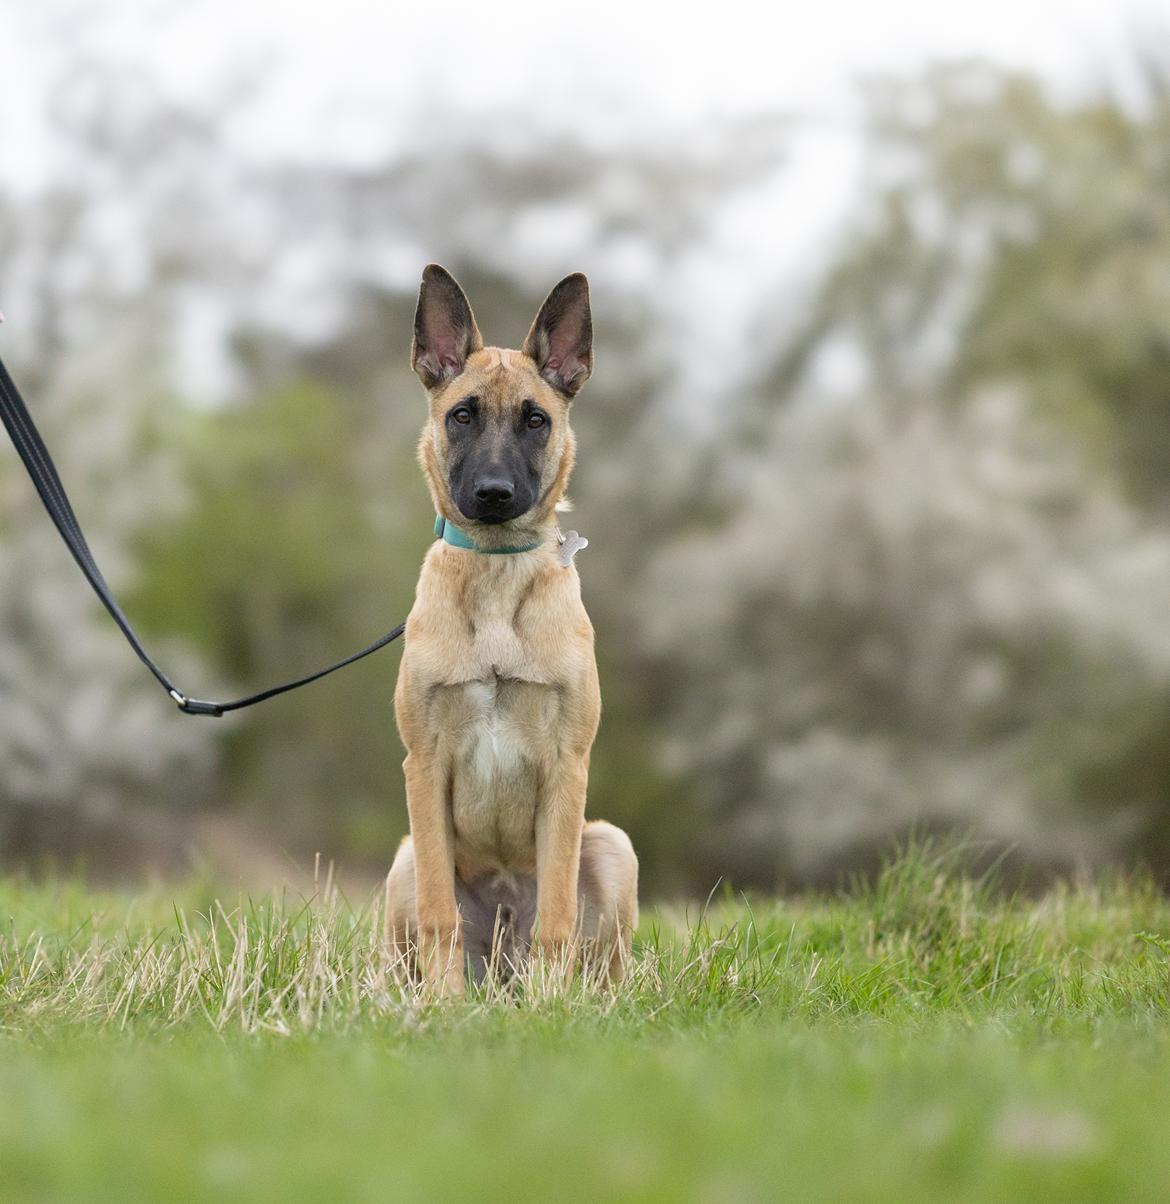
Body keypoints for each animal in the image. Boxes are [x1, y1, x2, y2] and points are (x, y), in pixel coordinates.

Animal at [382, 268, 640, 992]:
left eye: (535, 419)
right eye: (462, 415)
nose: (494, 494)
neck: (496, 582)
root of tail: (500, 963)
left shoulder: (566, 765)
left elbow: (555, 914)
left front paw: (554, 1005)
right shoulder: (424, 765)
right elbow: (440, 914)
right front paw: (441, 1004)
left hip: (611, 844)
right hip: (405, 858)